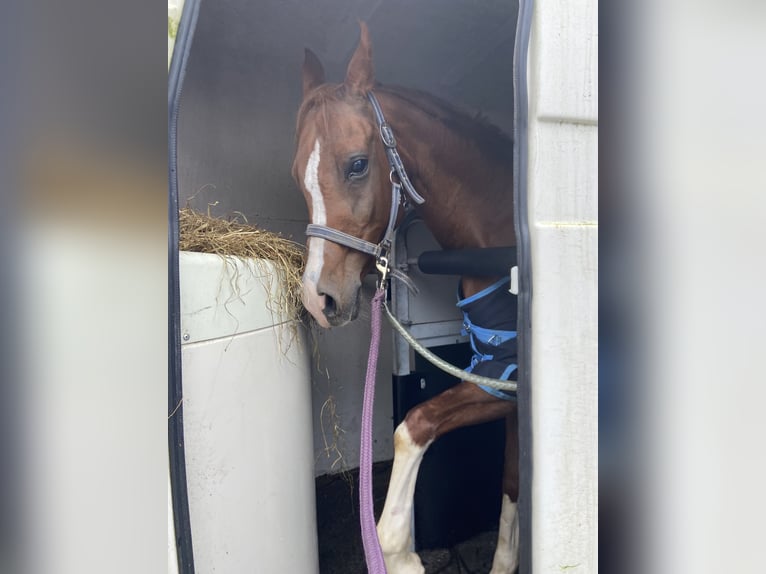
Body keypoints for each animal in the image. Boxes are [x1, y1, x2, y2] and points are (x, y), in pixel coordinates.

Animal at [294, 23, 520, 574]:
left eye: (357, 165)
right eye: (296, 173)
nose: (316, 299)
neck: (499, 236)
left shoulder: (507, 374)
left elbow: (414, 423)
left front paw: (396, 550)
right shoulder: (501, 382)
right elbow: (510, 479)